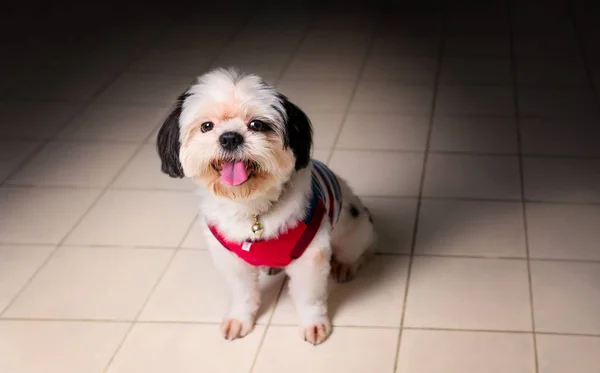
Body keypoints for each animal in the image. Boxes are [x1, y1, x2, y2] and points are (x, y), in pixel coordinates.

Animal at [157, 67, 378, 342]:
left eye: (257, 125)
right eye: (207, 126)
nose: (230, 137)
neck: (252, 207)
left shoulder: (310, 256)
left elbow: (310, 297)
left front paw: (313, 323)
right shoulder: (231, 260)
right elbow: (242, 294)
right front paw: (240, 319)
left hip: (354, 228)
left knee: (358, 250)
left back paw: (346, 265)